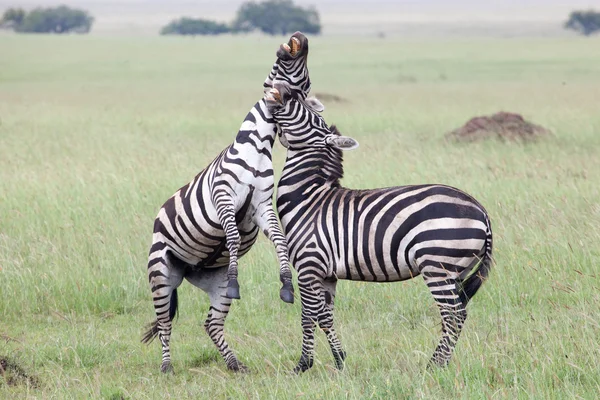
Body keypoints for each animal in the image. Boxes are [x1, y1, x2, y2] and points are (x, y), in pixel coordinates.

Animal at [143, 32, 312, 374]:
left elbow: (279, 241)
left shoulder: (261, 206)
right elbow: (232, 237)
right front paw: (238, 279)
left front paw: (287, 285)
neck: (257, 145)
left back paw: (235, 364)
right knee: (165, 322)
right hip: (161, 273)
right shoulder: (223, 197)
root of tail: (189, 270)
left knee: (211, 323)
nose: (301, 37)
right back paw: (167, 367)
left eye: (306, 82)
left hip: (212, 285)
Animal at [264, 82, 494, 376]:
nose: (284, 87)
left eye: (309, 114)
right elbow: (325, 317)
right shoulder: (327, 275)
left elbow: (308, 316)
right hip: (457, 271)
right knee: (458, 314)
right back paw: (441, 362)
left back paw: (434, 366)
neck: (307, 199)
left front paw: (303, 365)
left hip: (437, 265)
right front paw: (339, 360)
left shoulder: (308, 265)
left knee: (454, 315)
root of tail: (481, 210)